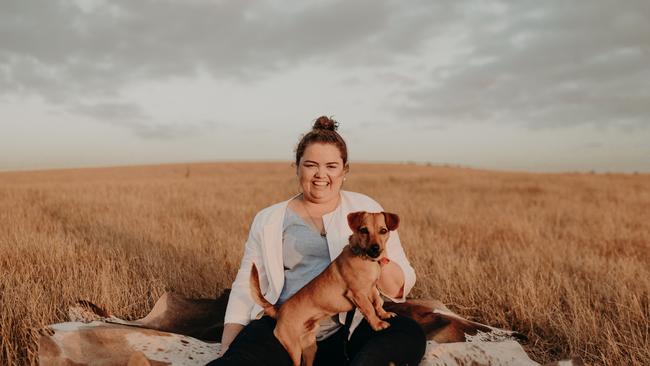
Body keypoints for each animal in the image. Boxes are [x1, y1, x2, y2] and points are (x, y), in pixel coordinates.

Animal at [249, 210, 398, 364]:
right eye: (364, 230)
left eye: (383, 231)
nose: (375, 248)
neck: (365, 258)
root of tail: (278, 310)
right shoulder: (358, 294)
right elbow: (369, 309)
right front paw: (377, 324)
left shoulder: (372, 288)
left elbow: (377, 302)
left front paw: (384, 314)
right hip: (294, 349)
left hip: (310, 348)